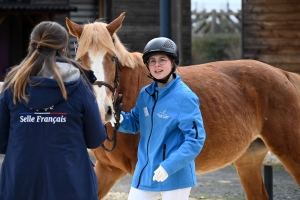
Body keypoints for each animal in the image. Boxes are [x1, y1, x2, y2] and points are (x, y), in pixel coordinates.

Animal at [65, 12, 300, 200]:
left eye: (112, 58)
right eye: (81, 59)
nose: (102, 110)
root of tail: (284, 75)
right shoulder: (108, 169)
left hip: (291, 153)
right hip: (248, 161)